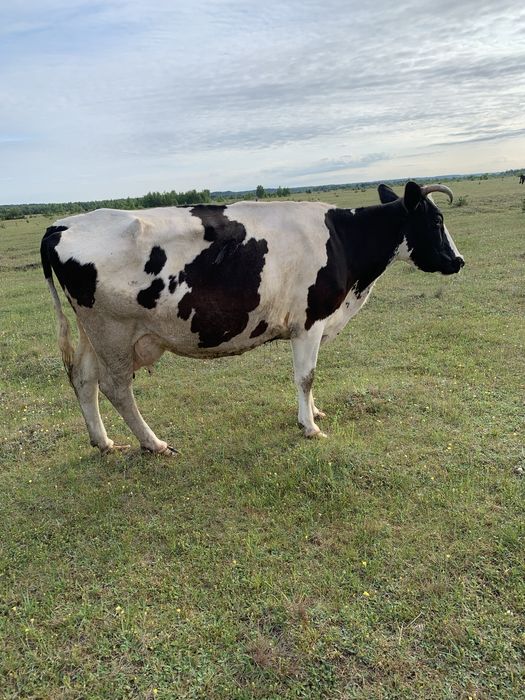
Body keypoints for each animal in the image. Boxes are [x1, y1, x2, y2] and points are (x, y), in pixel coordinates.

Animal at [40, 181, 464, 456]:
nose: (459, 260)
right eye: (436, 221)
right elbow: (306, 376)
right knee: (116, 388)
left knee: (83, 379)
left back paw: (103, 442)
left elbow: (309, 376)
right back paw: (154, 443)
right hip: (113, 331)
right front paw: (310, 427)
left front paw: (313, 412)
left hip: (93, 332)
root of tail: (64, 224)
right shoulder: (310, 322)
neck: (343, 240)